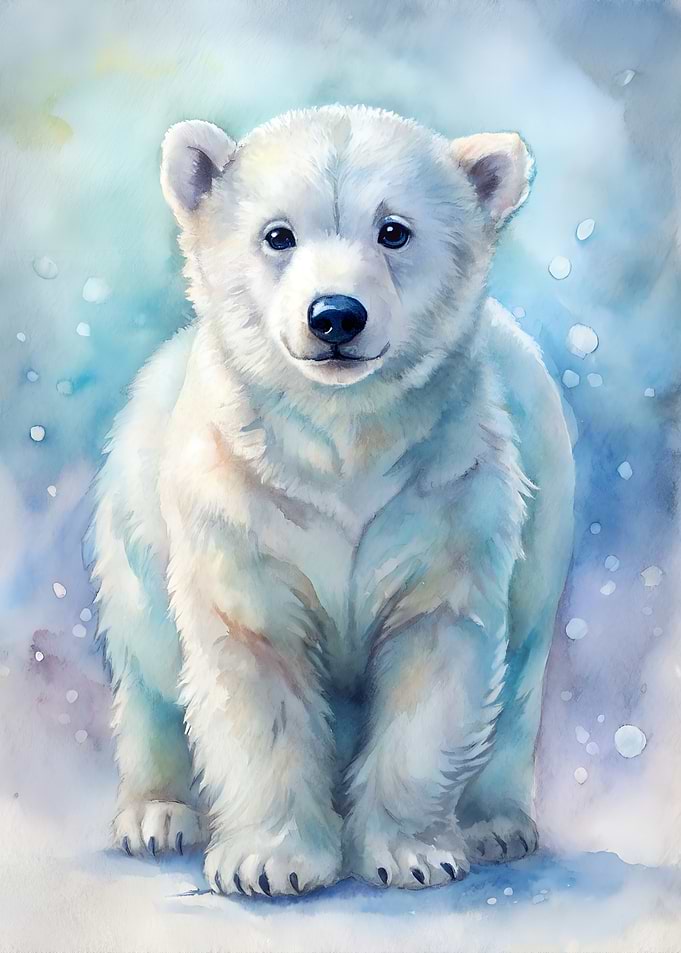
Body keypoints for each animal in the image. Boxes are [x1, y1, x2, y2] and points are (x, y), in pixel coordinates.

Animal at [89, 105, 574, 896]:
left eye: (394, 230)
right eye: (277, 234)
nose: (336, 316)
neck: (346, 441)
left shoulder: (446, 495)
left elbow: (432, 658)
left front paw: (413, 854)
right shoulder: (243, 504)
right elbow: (257, 663)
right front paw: (268, 861)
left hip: (547, 502)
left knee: (523, 667)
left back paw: (495, 824)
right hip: (135, 513)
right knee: (151, 659)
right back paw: (155, 815)